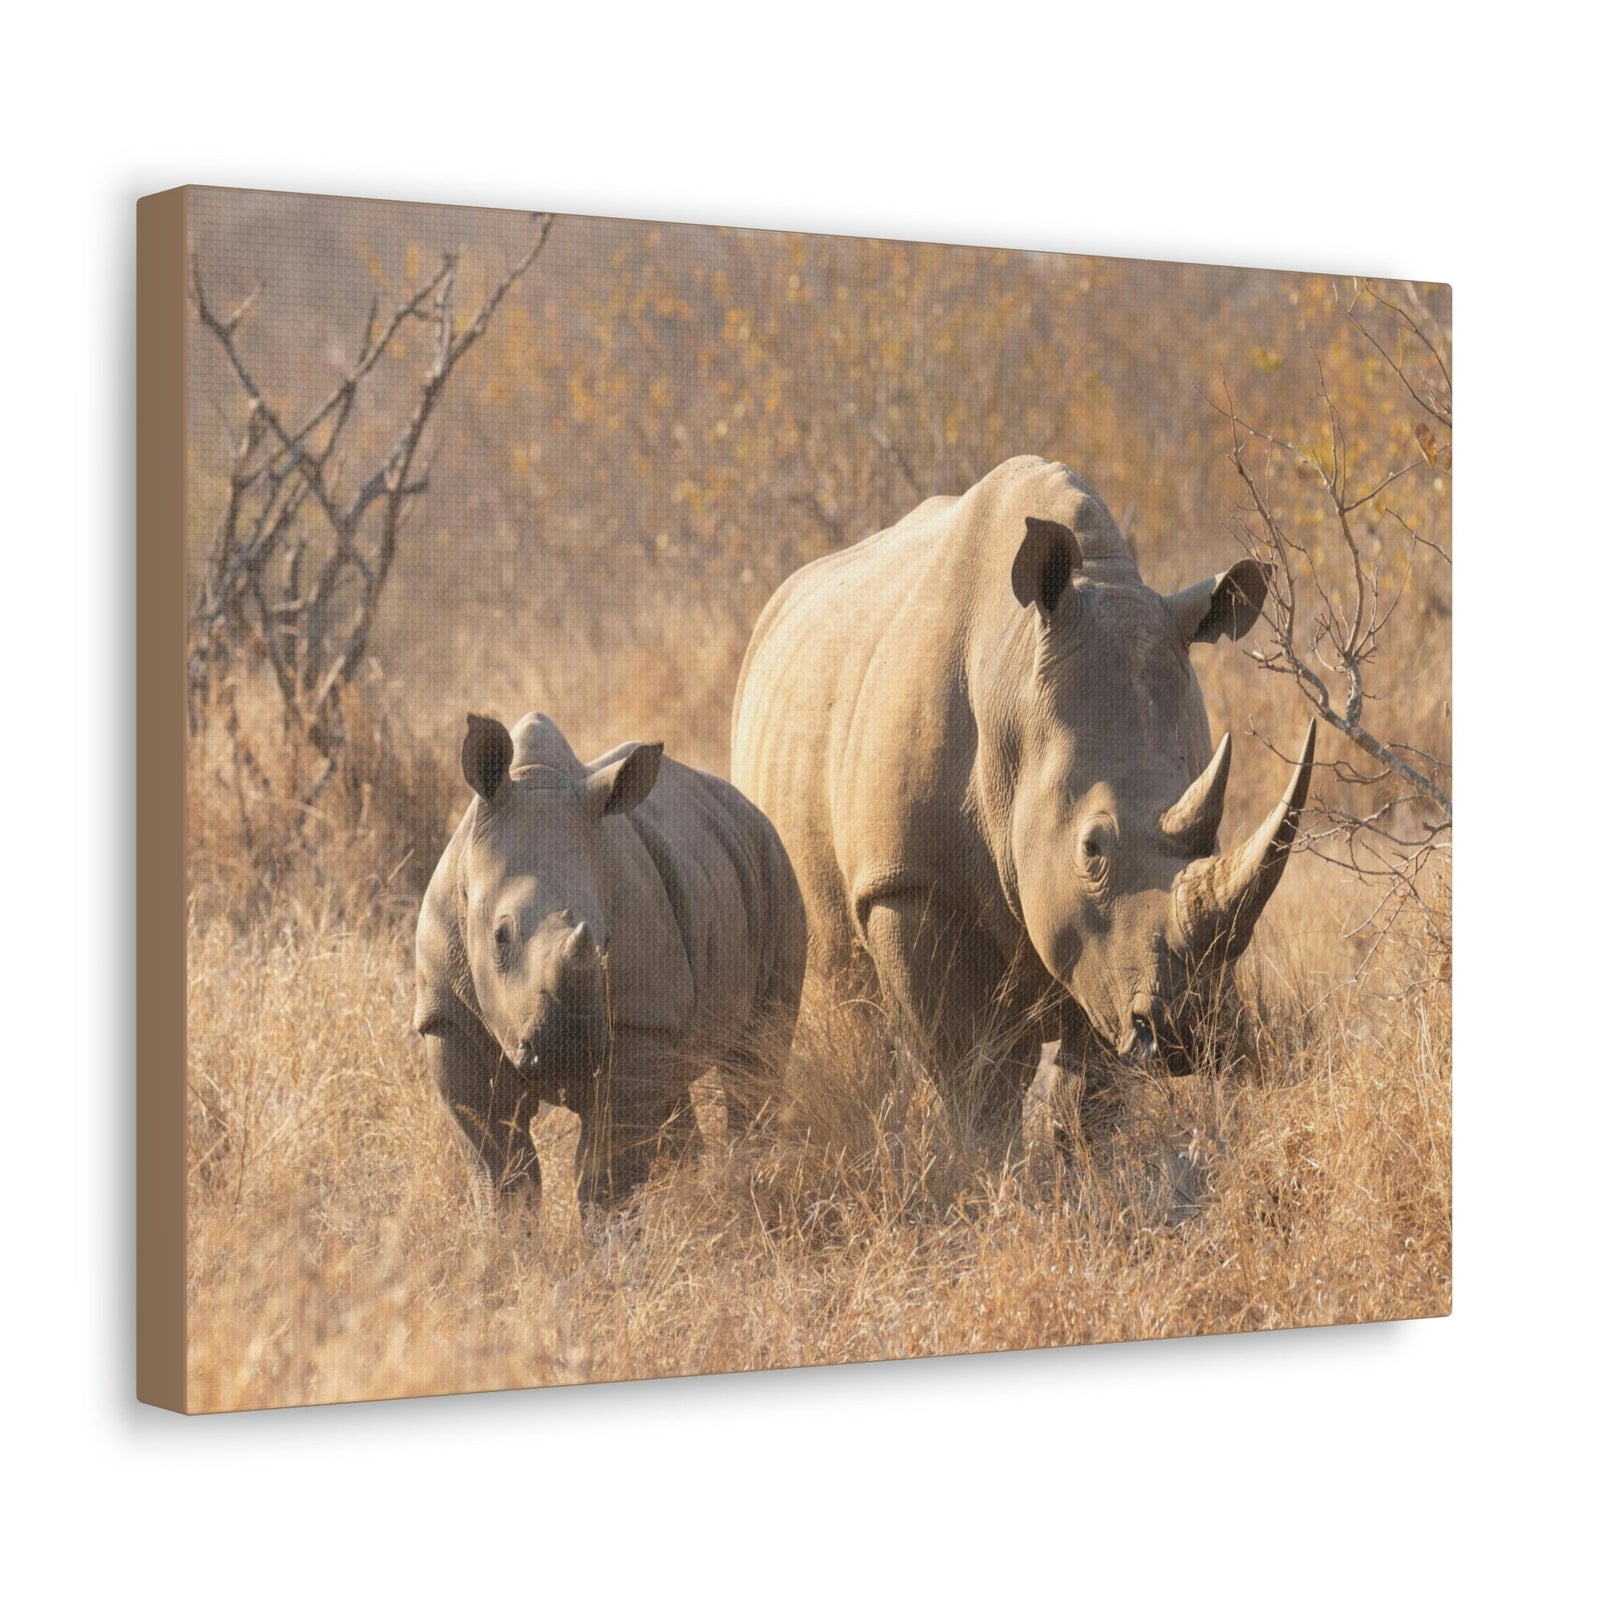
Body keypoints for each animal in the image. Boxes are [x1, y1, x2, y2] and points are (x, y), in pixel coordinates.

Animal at [415, 712, 806, 1204]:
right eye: (500, 938)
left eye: (606, 940)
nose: (568, 1055)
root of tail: (749, 808)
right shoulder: (448, 1013)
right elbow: (501, 1169)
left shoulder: (639, 1019)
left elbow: (607, 1172)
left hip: (775, 868)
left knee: (754, 1058)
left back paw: (752, 1180)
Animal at [732, 455, 1314, 1137]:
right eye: (1092, 848)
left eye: (1216, 837)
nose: (1185, 1036)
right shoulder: (906, 880)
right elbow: (977, 1076)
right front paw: (990, 1162)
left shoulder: (1102, 953)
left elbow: (1091, 1087)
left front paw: (1080, 1158)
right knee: (853, 1003)